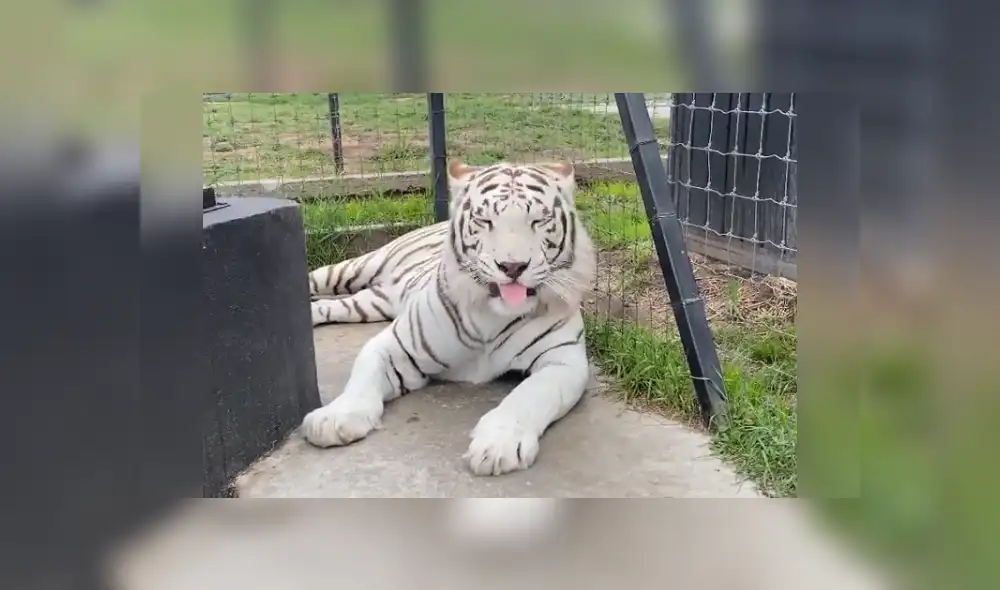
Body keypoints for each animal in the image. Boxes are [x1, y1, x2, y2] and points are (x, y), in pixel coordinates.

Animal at [301, 159, 597, 476]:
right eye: (484, 220)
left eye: (538, 221)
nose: (512, 266)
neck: (493, 315)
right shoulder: (396, 345)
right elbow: (362, 376)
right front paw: (333, 418)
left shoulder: (563, 361)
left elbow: (528, 396)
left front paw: (498, 445)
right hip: (354, 268)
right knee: (315, 279)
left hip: (369, 305)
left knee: (331, 307)